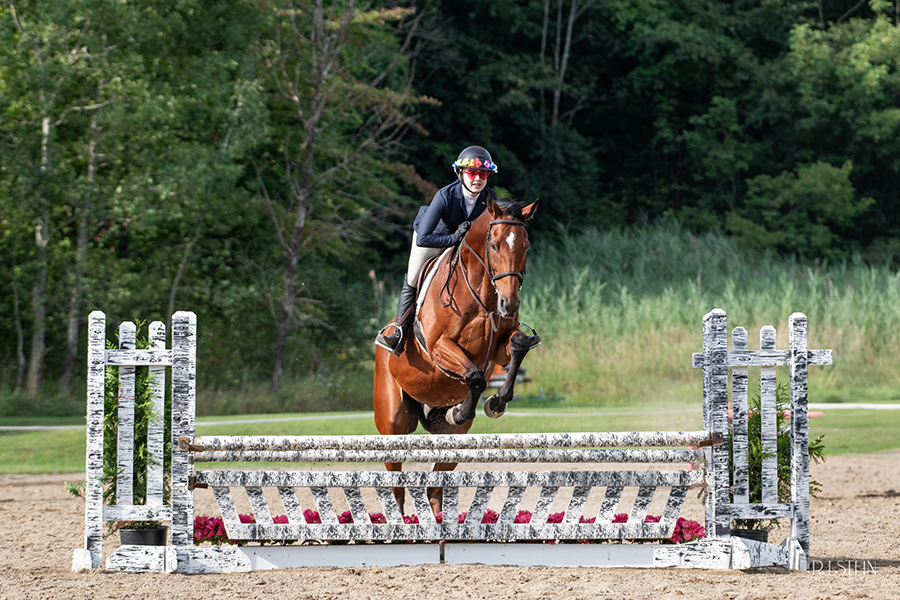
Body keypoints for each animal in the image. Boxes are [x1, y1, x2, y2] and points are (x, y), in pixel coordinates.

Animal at [374, 198, 540, 516]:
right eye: (494, 245)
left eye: (526, 245)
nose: (509, 304)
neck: (482, 292)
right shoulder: (439, 347)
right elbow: (474, 375)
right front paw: (464, 409)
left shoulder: (499, 347)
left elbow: (518, 347)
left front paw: (495, 402)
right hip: (393, 425)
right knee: (397, 487)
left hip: (452, 438)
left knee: (433, 487)